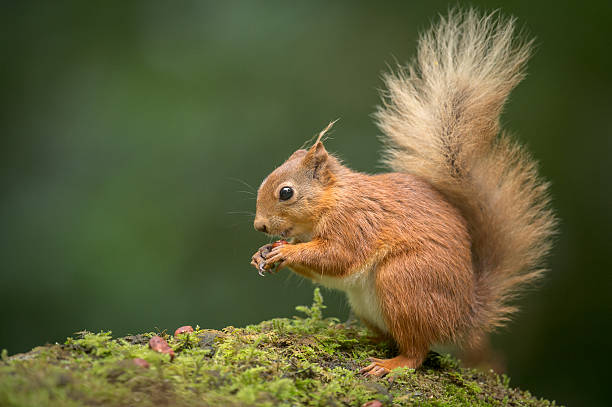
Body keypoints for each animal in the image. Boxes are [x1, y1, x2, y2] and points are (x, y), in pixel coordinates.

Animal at [249, 9, 556, 378]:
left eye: (286, 192)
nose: (259, 226)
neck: (331, 201)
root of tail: (464, 315)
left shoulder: (356, 221)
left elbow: (339, 256)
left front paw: (286, 252)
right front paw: (261, 255)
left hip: (404, 281)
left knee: (417, 350)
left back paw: (390, 364)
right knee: (391, 337)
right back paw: (361, 337)